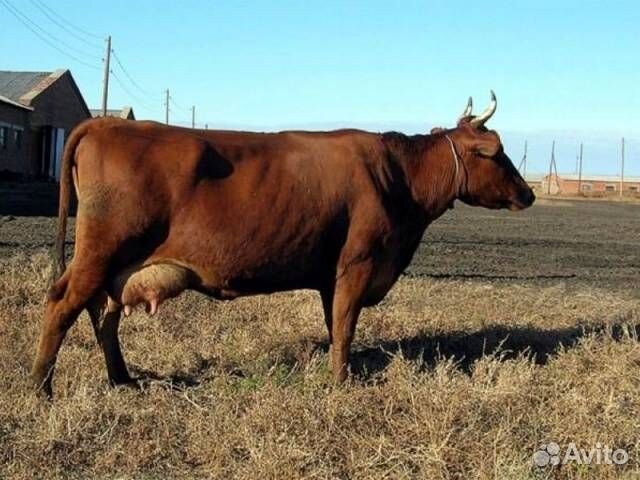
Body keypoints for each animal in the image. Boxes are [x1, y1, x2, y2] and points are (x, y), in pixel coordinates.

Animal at [31, 92, 534, 397]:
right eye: (498, 152)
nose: (528, 193)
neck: (397, 178)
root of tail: (104, 127)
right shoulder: (358, 263)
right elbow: (345, 327)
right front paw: (342, 384)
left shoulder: (332, 276)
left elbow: (335, 325)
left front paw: (338, 373)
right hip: (101, 252)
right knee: (62, 303)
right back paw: (41, 387)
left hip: (117, 265)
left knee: (103, 314)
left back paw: (122, 380)